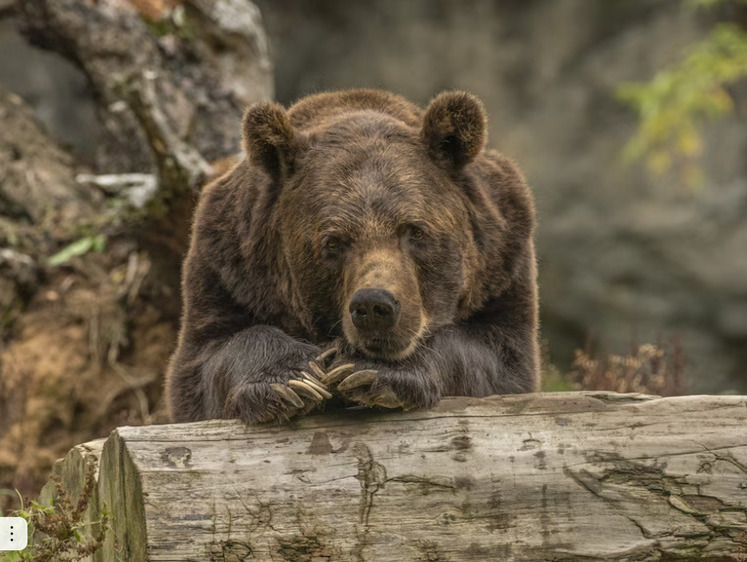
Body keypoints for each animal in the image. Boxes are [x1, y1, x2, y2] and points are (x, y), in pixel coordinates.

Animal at [165, 88, 536, 420]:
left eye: (415, 230)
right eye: (333, 241)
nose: (374, 306)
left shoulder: (502, 263)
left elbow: (496, 358)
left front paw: (368, 370)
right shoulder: (229, 269)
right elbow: (208, 359)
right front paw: (293, 380)